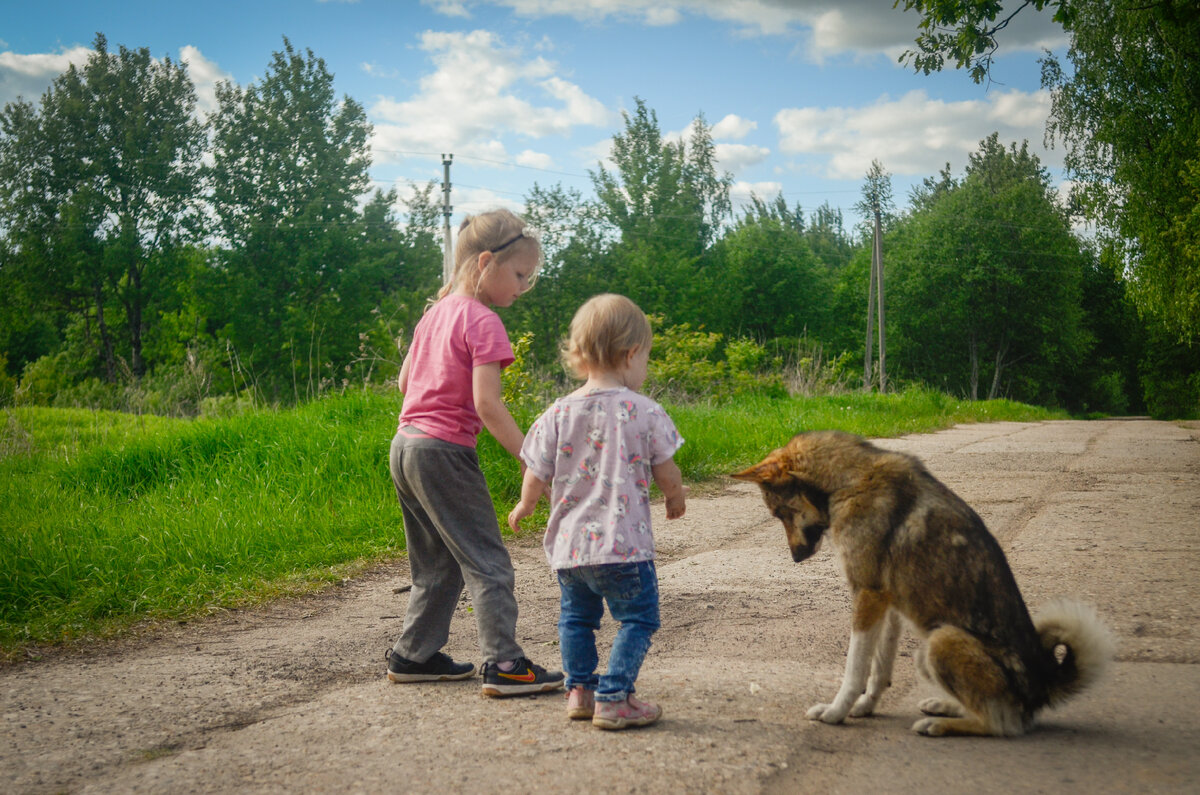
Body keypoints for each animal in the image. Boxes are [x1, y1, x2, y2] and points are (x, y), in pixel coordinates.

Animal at [729, 432, 1113, 739]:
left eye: (779, 513)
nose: (795, 559)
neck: (850, 479)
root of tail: (1043, 685)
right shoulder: (887, 605)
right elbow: (879, 670)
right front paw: (865, 707)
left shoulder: (867, 596)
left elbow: (855, 669)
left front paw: (836, 713)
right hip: (927, 649)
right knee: (993, 709)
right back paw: (945, 708)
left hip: (941, 640)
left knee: (1004, 723)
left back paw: (941, 725)